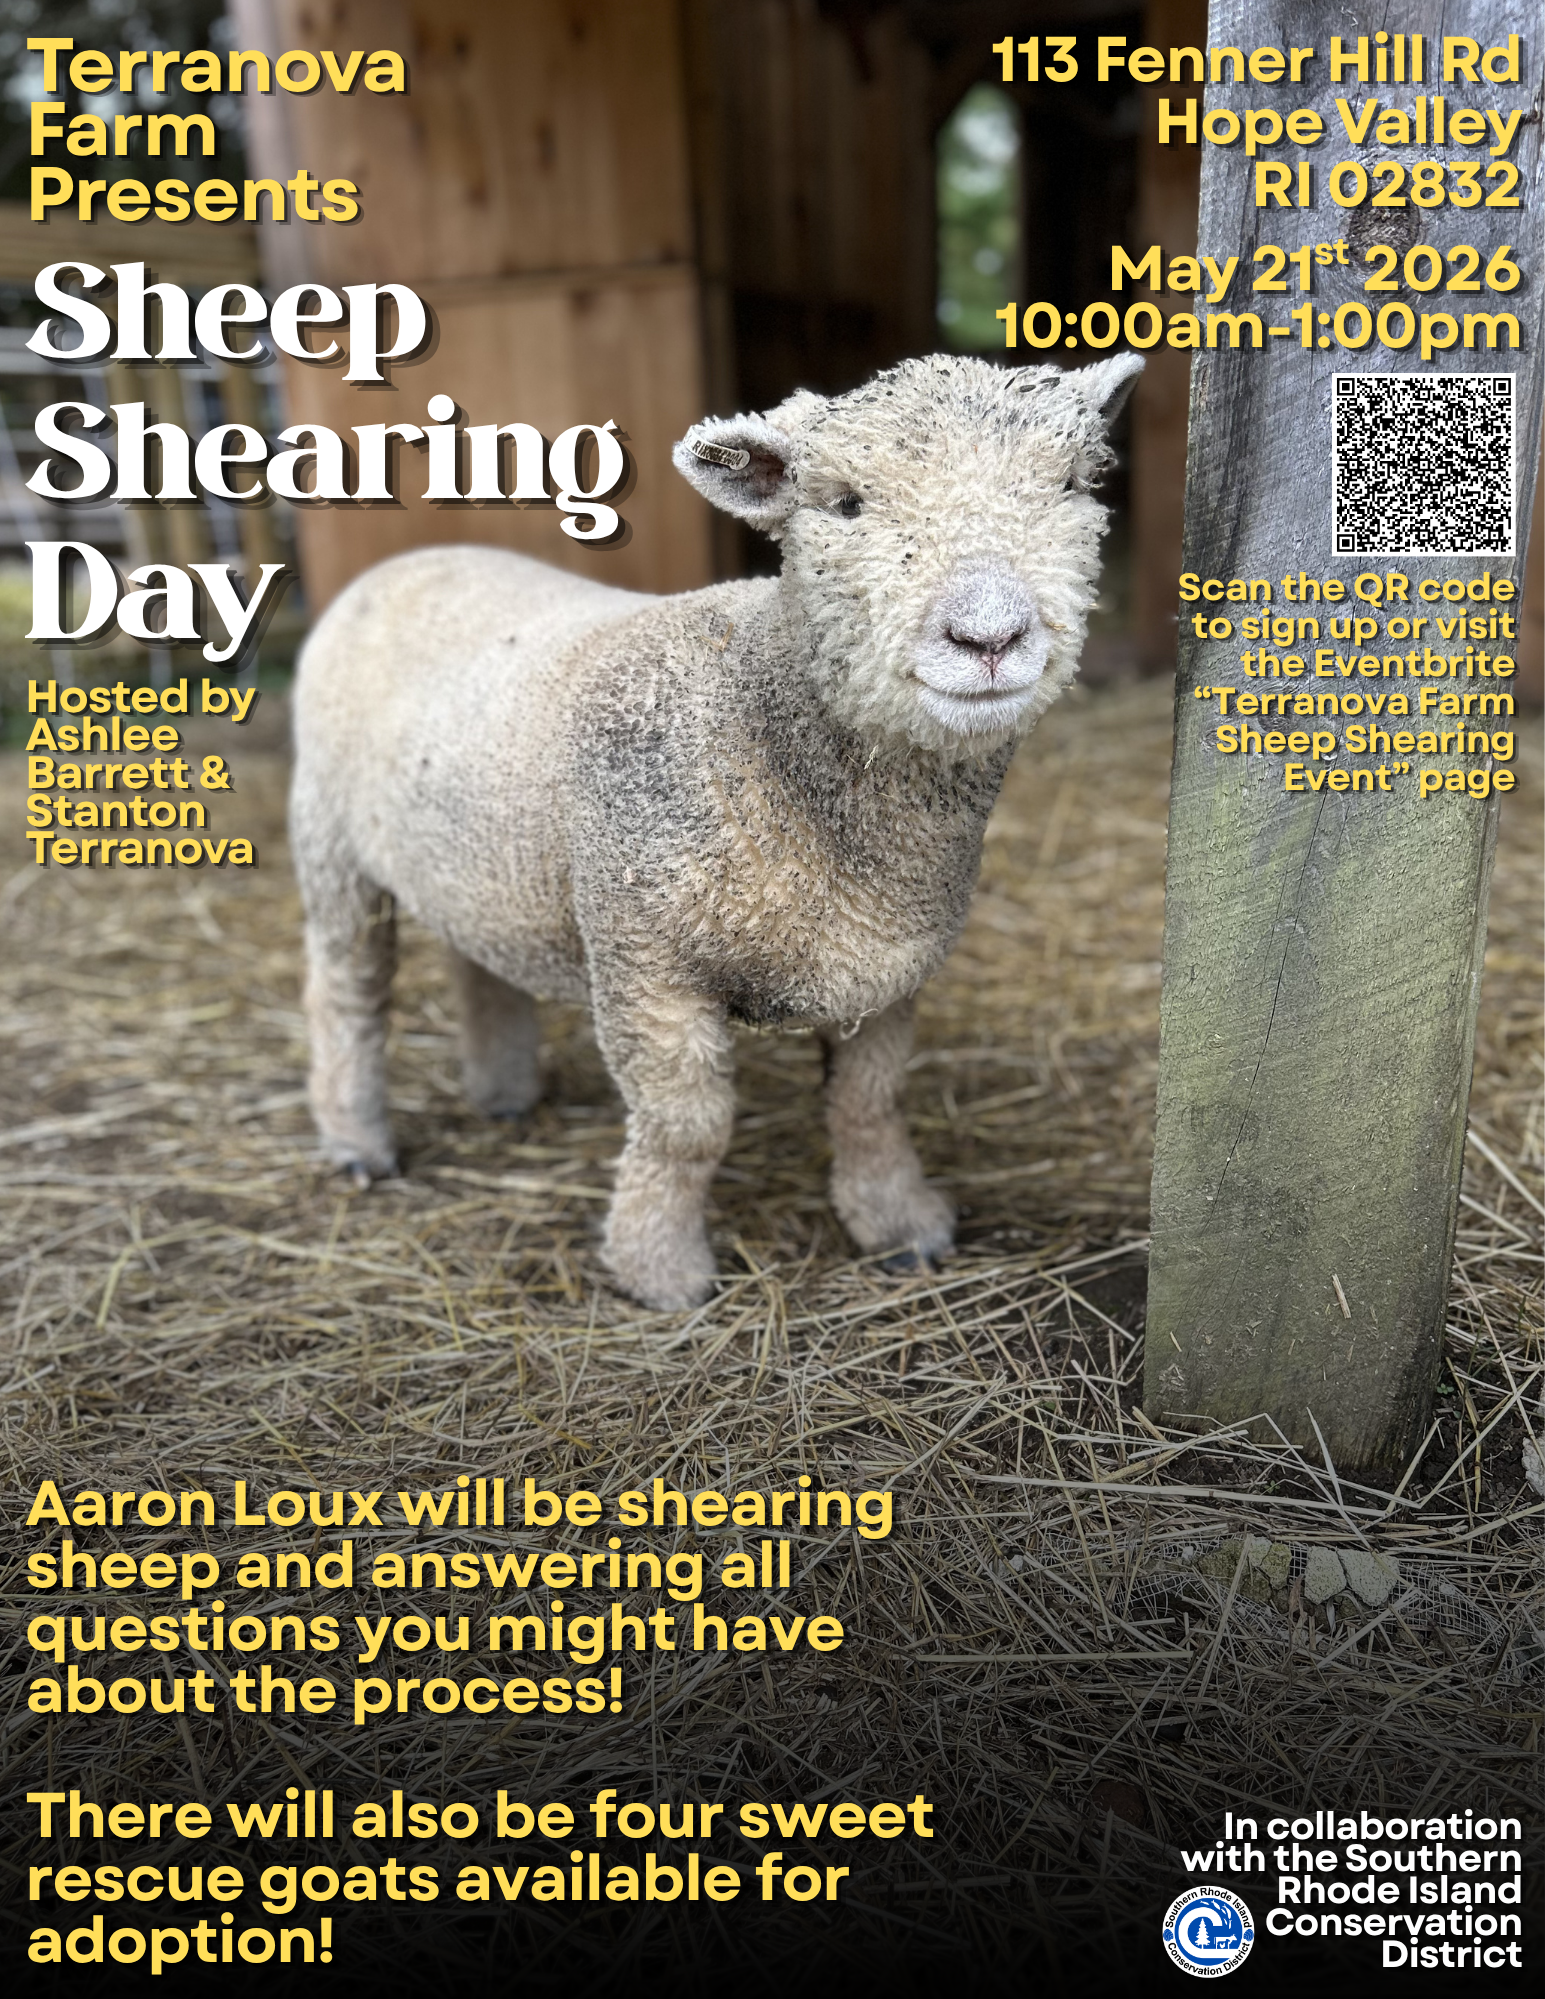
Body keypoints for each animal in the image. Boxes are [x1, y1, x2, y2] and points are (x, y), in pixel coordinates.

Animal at [290, 351, 1143, 1311]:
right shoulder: (644, 958)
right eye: (844, 503)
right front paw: (659, 1270)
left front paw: (900, 1227)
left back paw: (503, 1093)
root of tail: (408, 560)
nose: (989, 636)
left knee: (477, 958)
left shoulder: (887, 968)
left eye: (1073, 484)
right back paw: (357, 1141)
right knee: (346, 996)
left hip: (478, 854)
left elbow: (870, 1103)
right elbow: (685, 1127)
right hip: (330, 845)